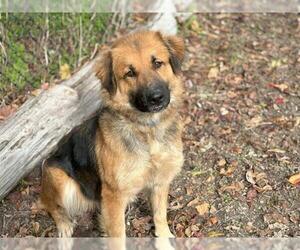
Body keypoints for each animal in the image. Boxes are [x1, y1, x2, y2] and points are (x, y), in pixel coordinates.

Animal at [39, 30, 185, 238]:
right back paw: (64, 225)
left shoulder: (159, 181)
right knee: (51, 205)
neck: (147, 130)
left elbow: (159, 216)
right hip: (58, 177)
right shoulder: (113, 196)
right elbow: (118, 235)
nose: (156, 98)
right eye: (129, 73)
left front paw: (164, 239)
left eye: (157, 63)